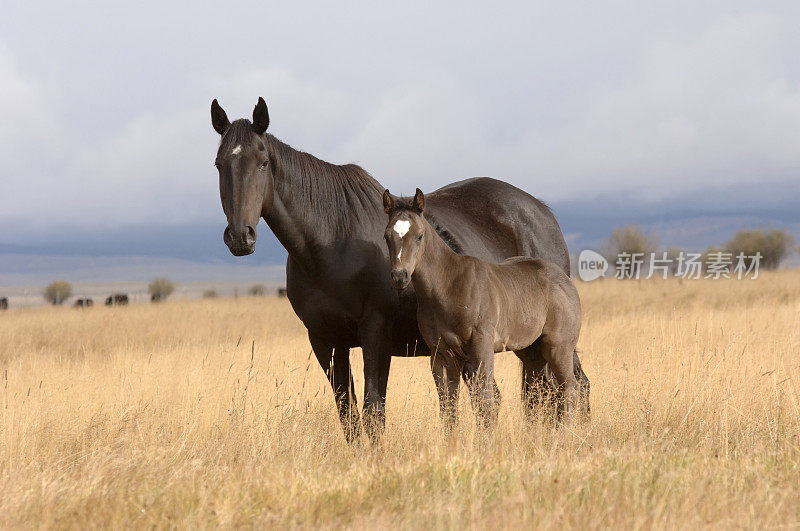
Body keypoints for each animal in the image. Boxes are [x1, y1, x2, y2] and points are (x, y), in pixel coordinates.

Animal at [382, 189, 580, 426]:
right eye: (386, 236)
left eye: (419, 236)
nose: (399, 276)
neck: (449, 285)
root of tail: (565, 280)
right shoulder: (441, 355)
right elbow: (448, 407)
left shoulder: (481, 346)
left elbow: (485, 401)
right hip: (532, 351)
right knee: (543, 390)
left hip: (559, 347)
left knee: (568, 389)